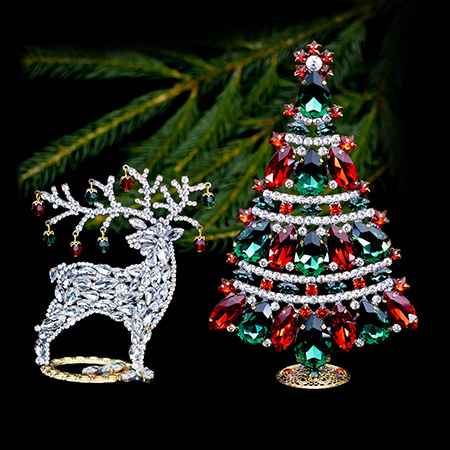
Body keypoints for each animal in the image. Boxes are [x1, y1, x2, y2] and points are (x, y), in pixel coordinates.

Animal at [33, 165, 213, 384]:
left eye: (157, 234)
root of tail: (58, 271)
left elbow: (139, 346)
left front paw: (138, 371)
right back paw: (45, 363)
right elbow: (137, 347)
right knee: (43, 329)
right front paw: (140, 372)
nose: (132, 239)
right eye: (146, 229)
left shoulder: (149, 319)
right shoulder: (139, 316)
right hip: (67, 305)